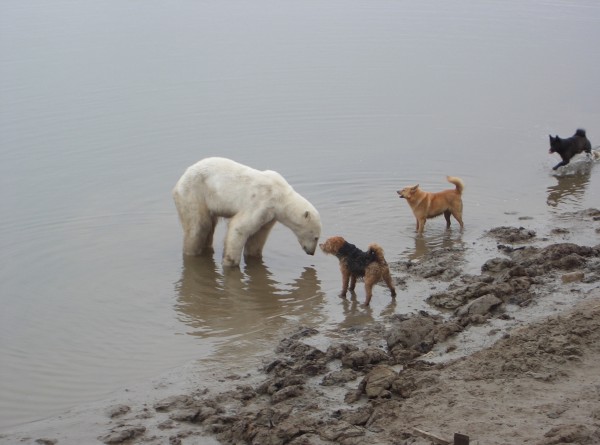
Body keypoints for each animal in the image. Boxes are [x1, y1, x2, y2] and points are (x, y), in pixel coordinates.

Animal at [173, 158, 324, 266]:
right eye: (316, 237)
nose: (311, 252)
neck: (281, 195)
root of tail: (180, 180)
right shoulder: (261, 202)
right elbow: (239, 227)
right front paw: (230, 263)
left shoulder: (270, 214)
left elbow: (258, 235)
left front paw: (254, 257)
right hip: (194, 194)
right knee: (198, 226)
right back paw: (191, 251)